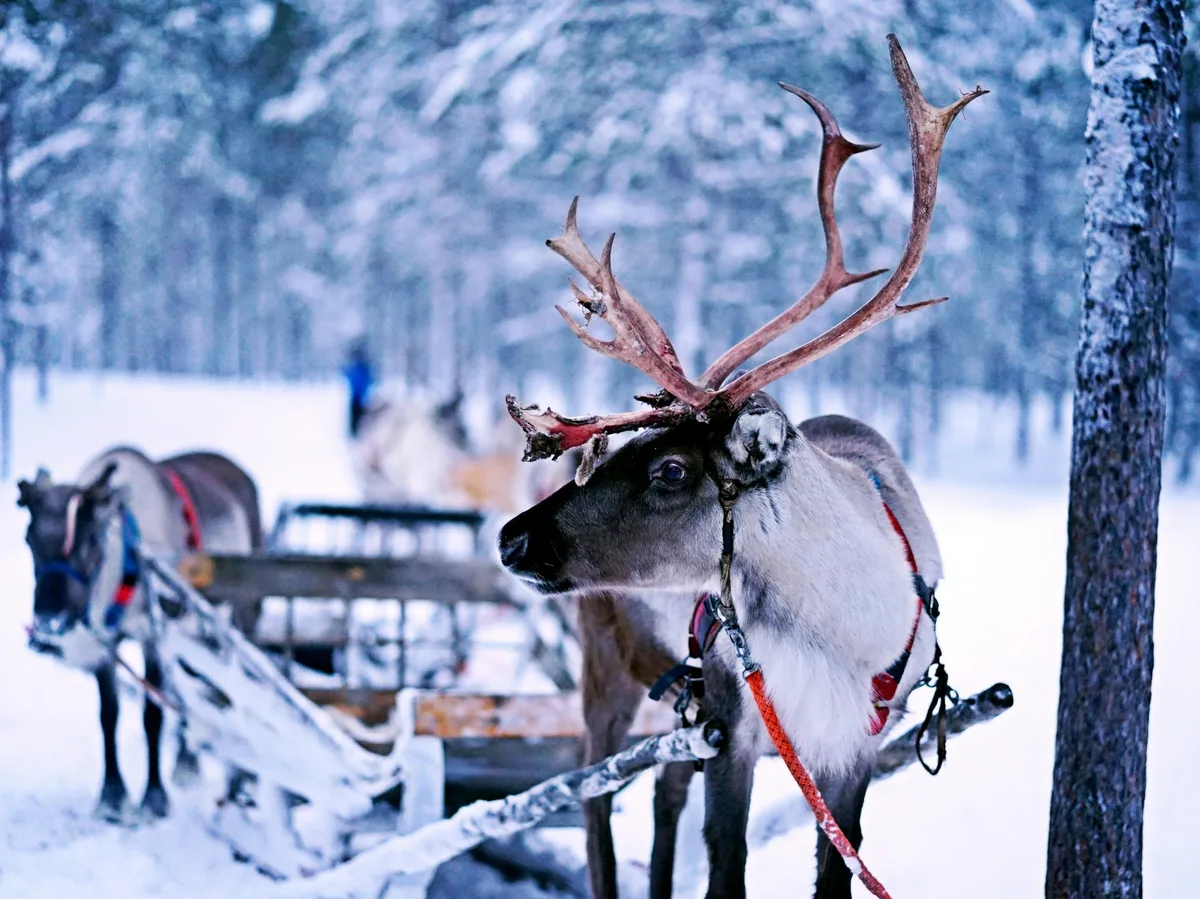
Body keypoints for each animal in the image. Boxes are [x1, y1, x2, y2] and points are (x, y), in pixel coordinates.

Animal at [497, 36, 985, 899]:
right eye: (623, 451)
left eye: (669, 470)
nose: (511, 538)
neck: (840, 631)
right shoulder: (736, 722)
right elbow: (727, 863)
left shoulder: (852, 744)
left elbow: (838, 865)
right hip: (606, 674)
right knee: (593, 793)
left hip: (673, 705)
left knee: (659, 790)